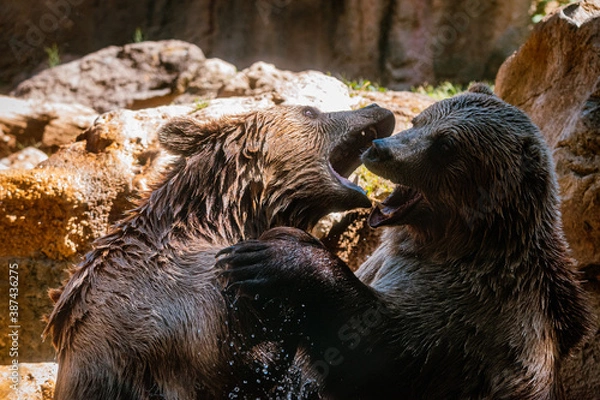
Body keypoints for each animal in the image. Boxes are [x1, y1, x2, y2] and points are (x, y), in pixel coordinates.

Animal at [219, 85, 592, 400]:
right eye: (419, 121)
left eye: (445, 145)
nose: (379, 149)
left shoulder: (475, 315)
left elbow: (377, 351)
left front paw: (274, 255)